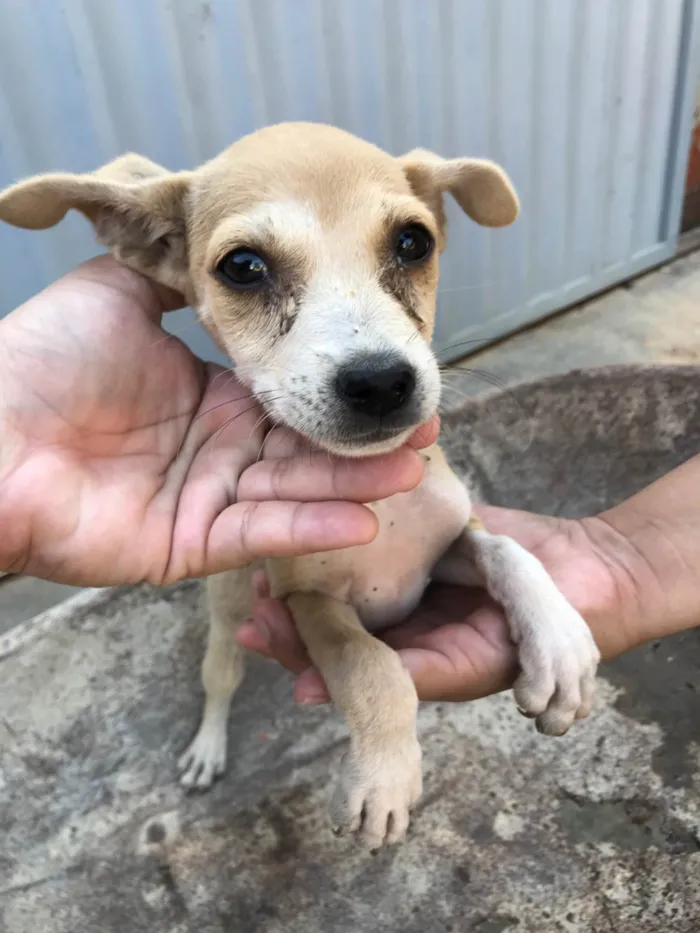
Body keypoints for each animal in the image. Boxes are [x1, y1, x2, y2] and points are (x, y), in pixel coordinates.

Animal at [1, 125, 600, 852]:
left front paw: (560, 644)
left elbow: (511, 549)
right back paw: (208, 748)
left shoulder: (448, 544)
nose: (381, 382)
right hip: (230, 611)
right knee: (221, 681)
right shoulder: (308, 601)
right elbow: (372, 666)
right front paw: (386, 776)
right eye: (243, 266)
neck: (382, 507)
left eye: (413, 242)